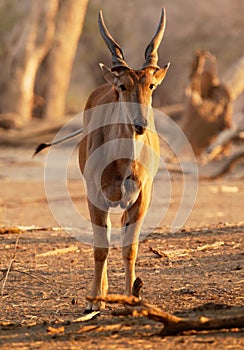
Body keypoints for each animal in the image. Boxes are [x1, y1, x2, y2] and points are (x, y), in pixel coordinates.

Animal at [79, 7, 171, 312]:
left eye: (151, 85)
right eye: (122, 86)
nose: (140, 125)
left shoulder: (142, 197)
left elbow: (129, 247)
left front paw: (132, 297)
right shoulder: (94, 194)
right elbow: (100, 247)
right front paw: (95, 301)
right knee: (105, 237)